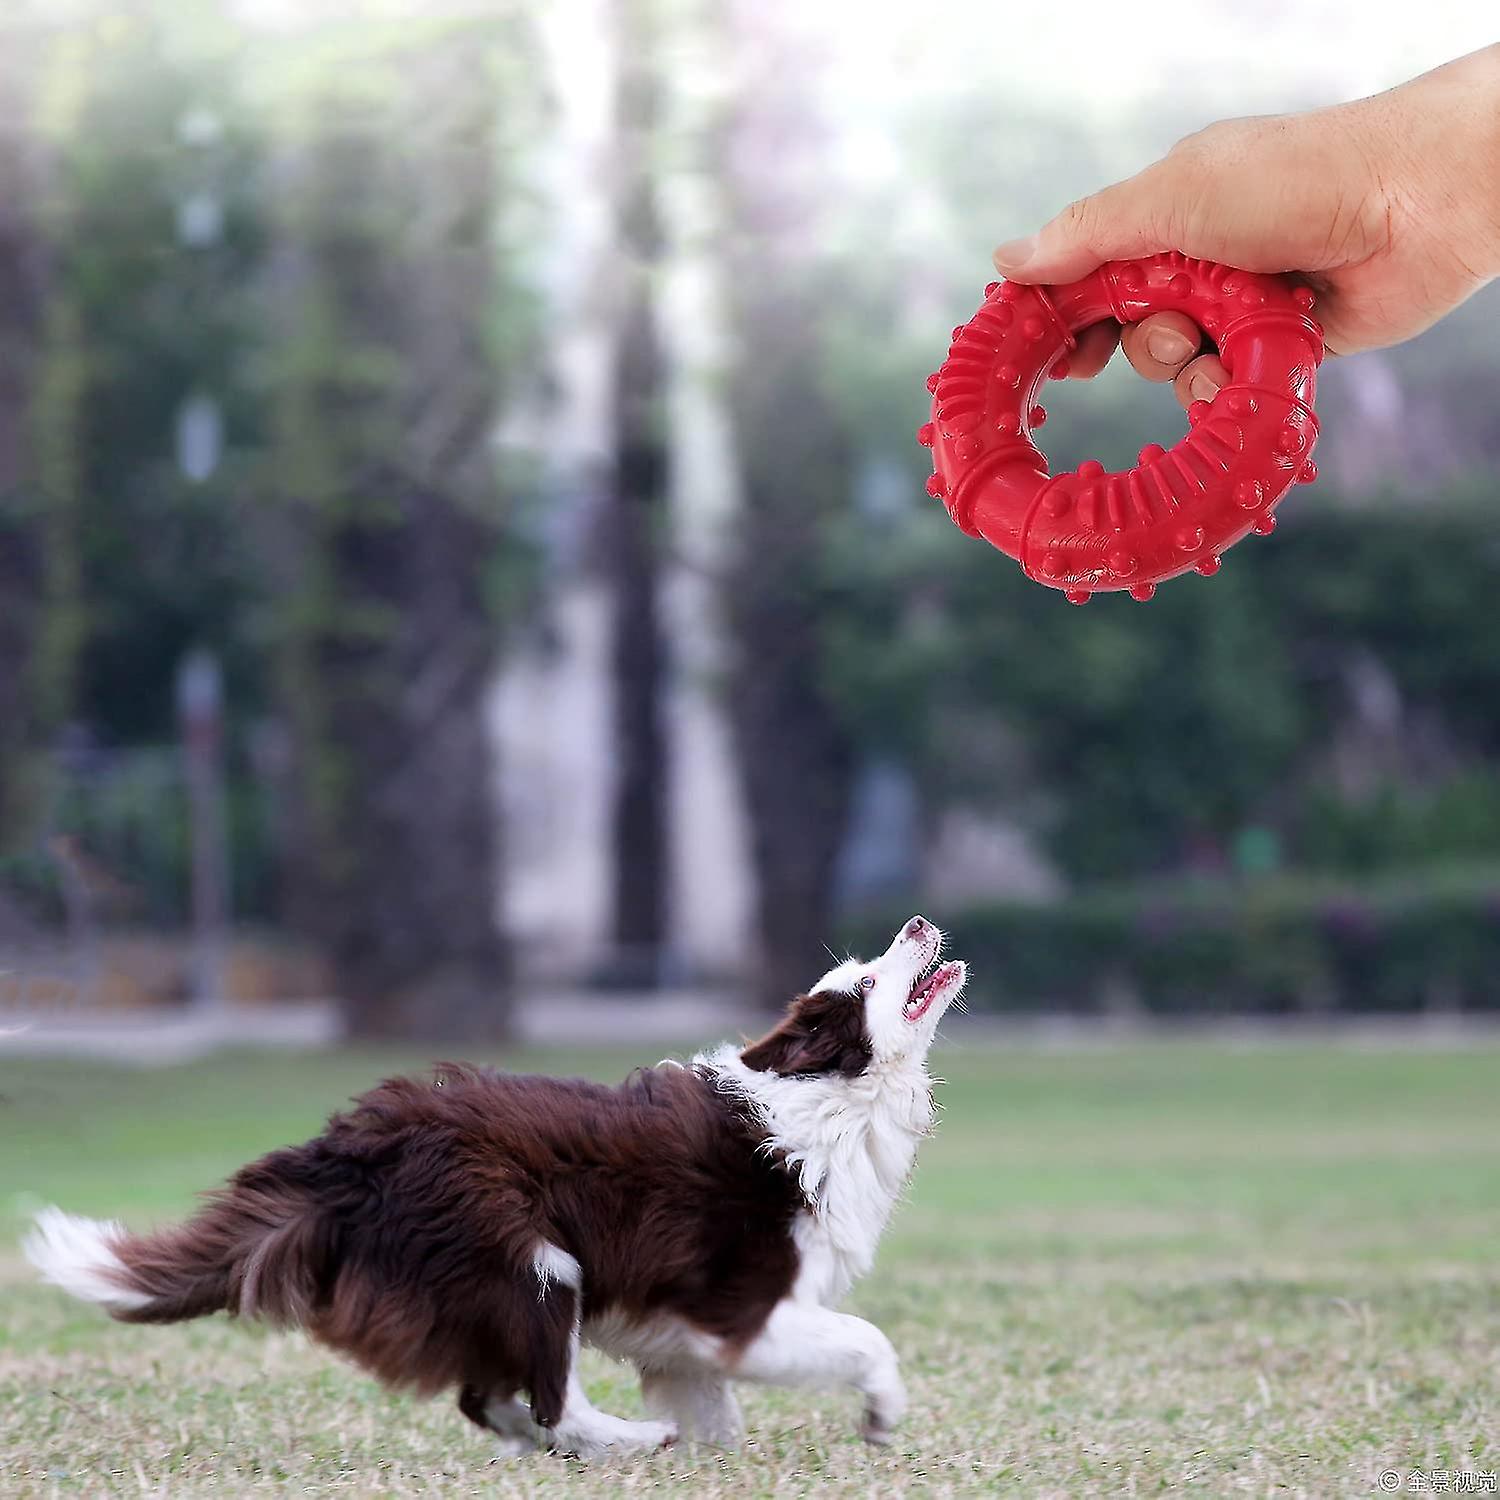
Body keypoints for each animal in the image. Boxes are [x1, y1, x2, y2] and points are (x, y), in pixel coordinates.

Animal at [23, 912, 966, 1452]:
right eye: (869, 979)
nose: (919, 920)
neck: (832, 1097)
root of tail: (347, 1152)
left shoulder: (680, 1335)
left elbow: (716, 1416)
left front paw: (719, 1461)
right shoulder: (743, 1309)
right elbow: (866, 1340)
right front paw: (881, 1416)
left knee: (490, 1399)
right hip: (532, 1260)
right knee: (546, 1398)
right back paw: (628, 1441)